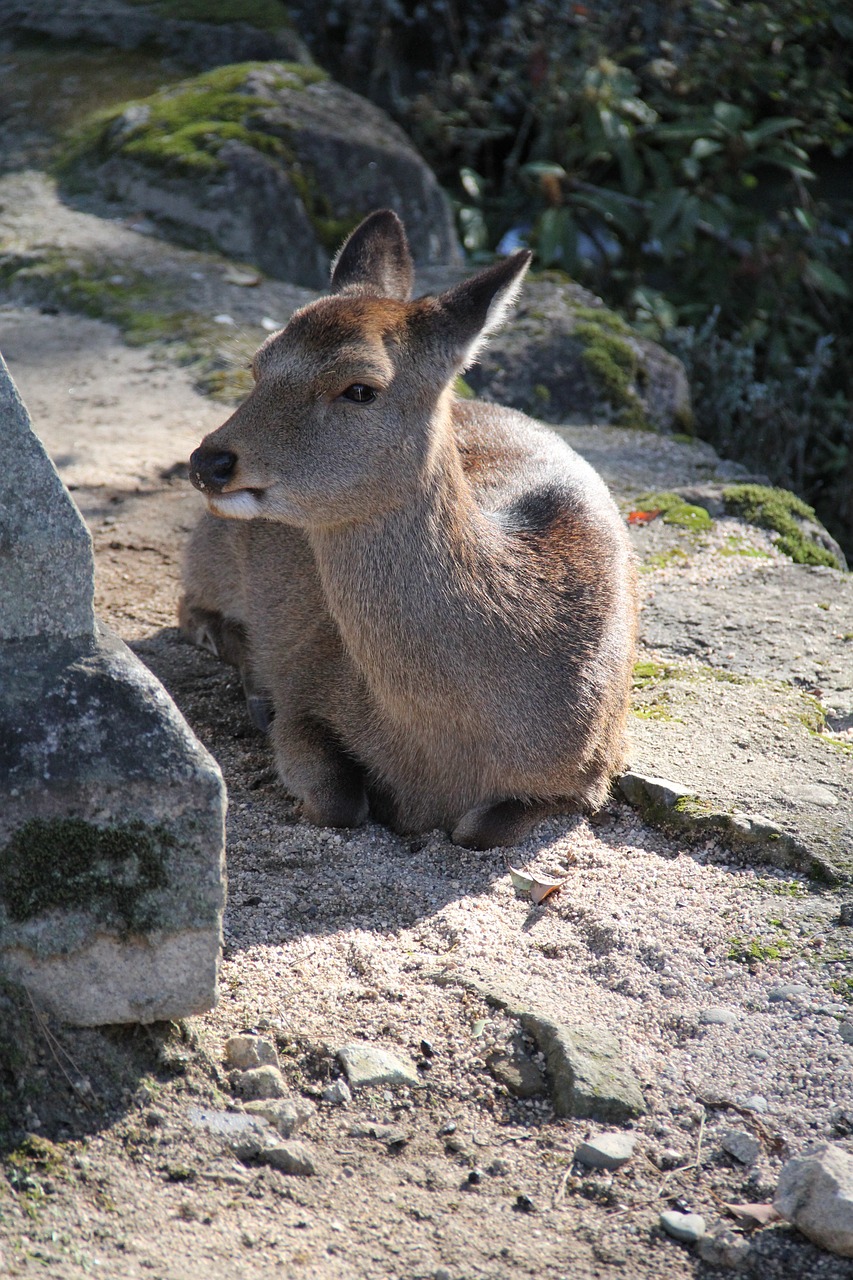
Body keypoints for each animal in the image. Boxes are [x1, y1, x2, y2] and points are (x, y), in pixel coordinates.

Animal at [178, 209, 630, 849]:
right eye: (258, 365)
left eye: (360, 388)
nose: (209, 461)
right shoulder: (309, 687)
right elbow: (339, 799)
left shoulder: (594, 769)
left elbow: (475, 829)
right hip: (211, 552)